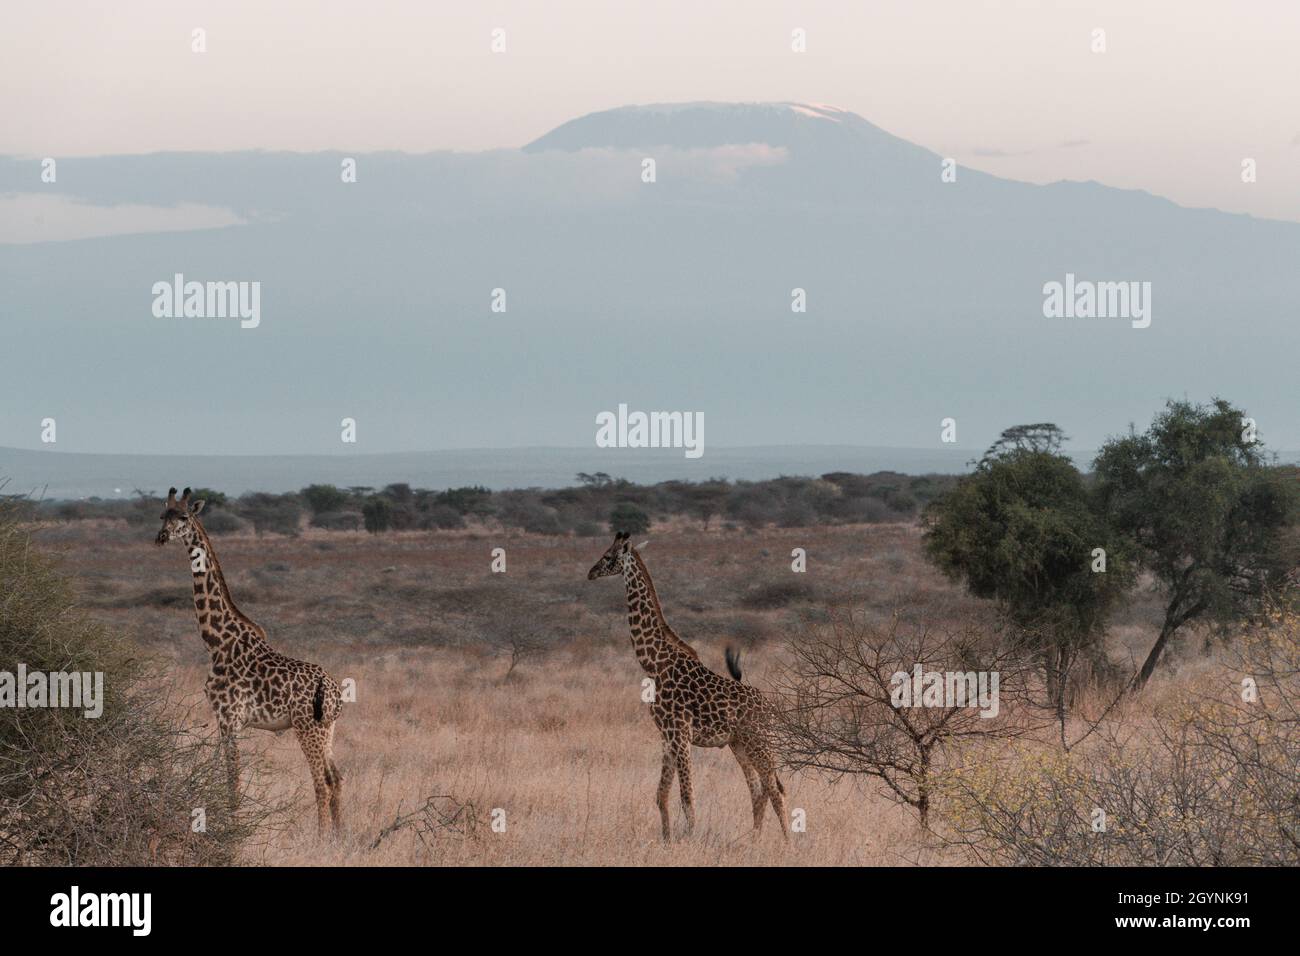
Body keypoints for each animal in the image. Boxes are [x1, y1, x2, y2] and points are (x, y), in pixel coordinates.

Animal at [154, 489, 345, 832]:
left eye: (184, 516)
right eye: (163, 515)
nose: (161, 537)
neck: (216, 642)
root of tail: (336, 692)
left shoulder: (229, 717)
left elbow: (233, 781)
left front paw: (233, 831)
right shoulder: (223, 719)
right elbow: (223, 775)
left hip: (307, 727)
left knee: (322, 782)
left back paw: (323, 838)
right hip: (328, 728)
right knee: (336, 779)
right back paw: (341, 836)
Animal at [592, 535, 790, 842]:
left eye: (609, 557)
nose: (590, 572)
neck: (653, 663)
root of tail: (770, 709)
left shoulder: (680, 733)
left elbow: (687, 796)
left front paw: (690, 838)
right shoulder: (667, 736)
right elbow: (661, 795)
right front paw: (667, 839)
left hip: (759, 742)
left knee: (775, 790)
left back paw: (788, 843)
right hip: (739, 744)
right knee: (758, 791)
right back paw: (754, 839)